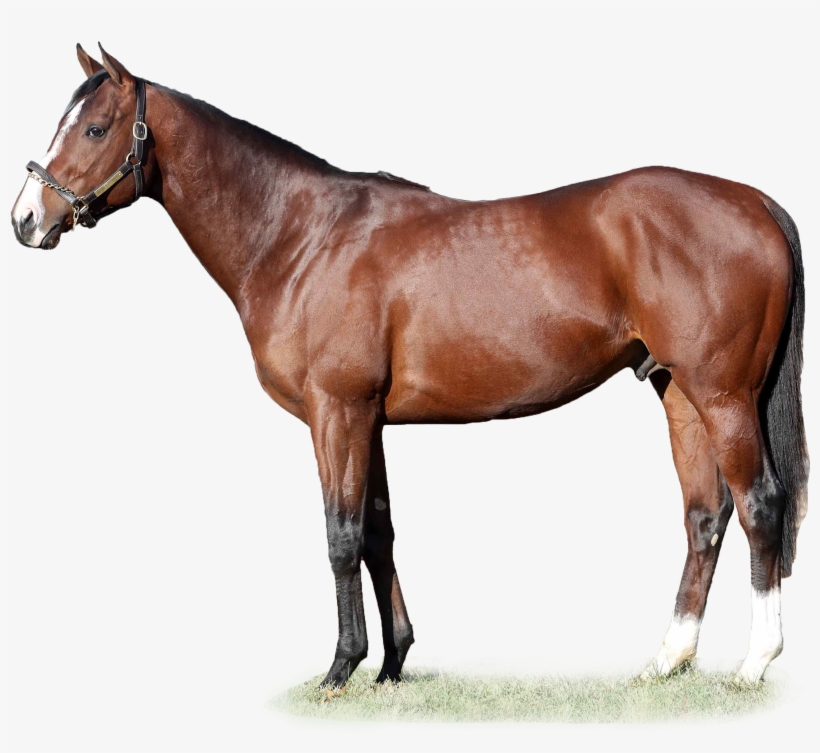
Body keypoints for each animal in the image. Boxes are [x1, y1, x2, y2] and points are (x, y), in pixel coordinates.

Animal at [11, 44, 808, 688]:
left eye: (93, 128)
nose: (25, 219)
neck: (301, 236)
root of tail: (756, 202)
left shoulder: (336, 411)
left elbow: (339, 533)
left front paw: (340, 667)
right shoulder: (368, 418)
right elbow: (378, 531)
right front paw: (392, 663)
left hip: (724, 394)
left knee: (760, 505)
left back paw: (753, 663)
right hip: (679, 394)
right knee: (704, 515)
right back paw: (667, 660)